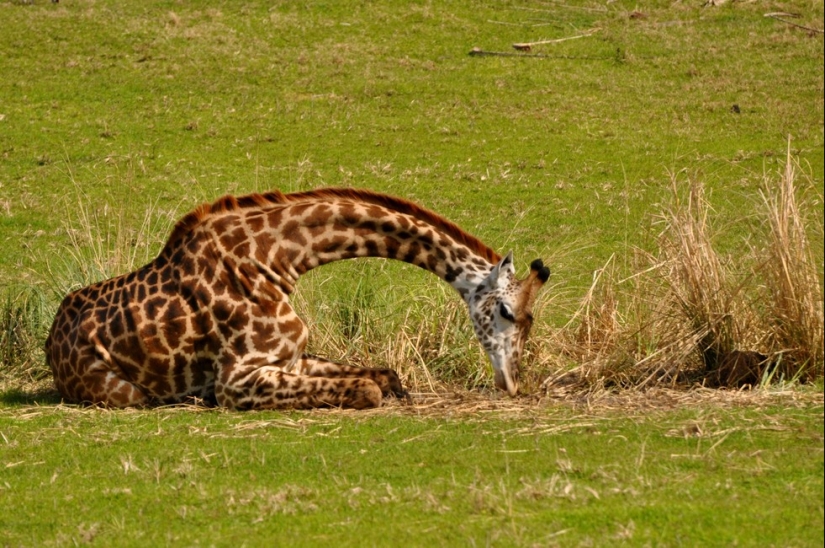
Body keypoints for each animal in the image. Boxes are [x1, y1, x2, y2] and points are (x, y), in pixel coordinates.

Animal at [43, 188, 548, 406]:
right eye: (506, 312)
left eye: (530, 321)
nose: (512, 383)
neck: (273, 259)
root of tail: (50, 342)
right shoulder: (236, 380)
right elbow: (367, 389)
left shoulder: (291, 359)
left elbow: (385, 375)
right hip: (125, 393)